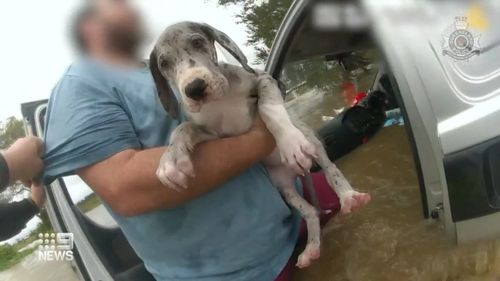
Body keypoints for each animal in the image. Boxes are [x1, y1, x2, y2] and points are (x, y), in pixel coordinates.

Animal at [148, 21, 372, 266]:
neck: (221, 100)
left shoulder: (263, 80)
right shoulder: (216, 136)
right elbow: (183, 129)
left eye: (197, 42)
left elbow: (268, 108)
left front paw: (290, 144)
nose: (194, 88)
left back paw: (349, 197)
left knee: (332, 171)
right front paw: (171, 160)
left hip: (314, 146)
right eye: (164, 64)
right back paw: (311, 248)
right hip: (282, 185)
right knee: (310, 211)